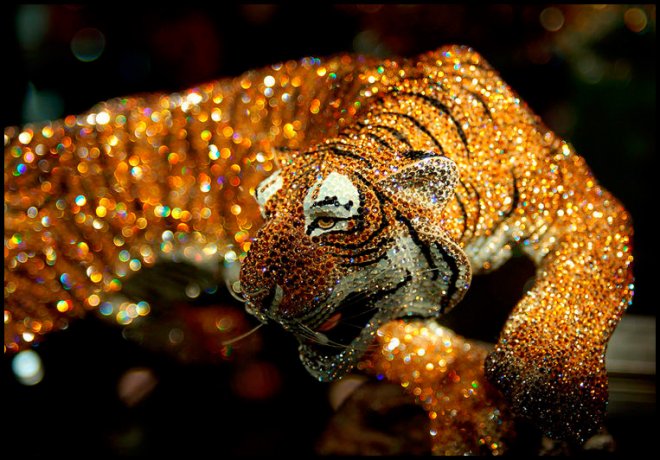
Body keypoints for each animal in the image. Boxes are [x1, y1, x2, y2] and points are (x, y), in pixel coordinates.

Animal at [4, 45, 633, 454]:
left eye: (329, 215)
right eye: (262, 211)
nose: (249, 295)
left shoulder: (583, 201)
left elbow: (583, 285)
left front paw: (555, 388)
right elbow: (409, 345)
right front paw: (478, 406)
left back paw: (197, 338)